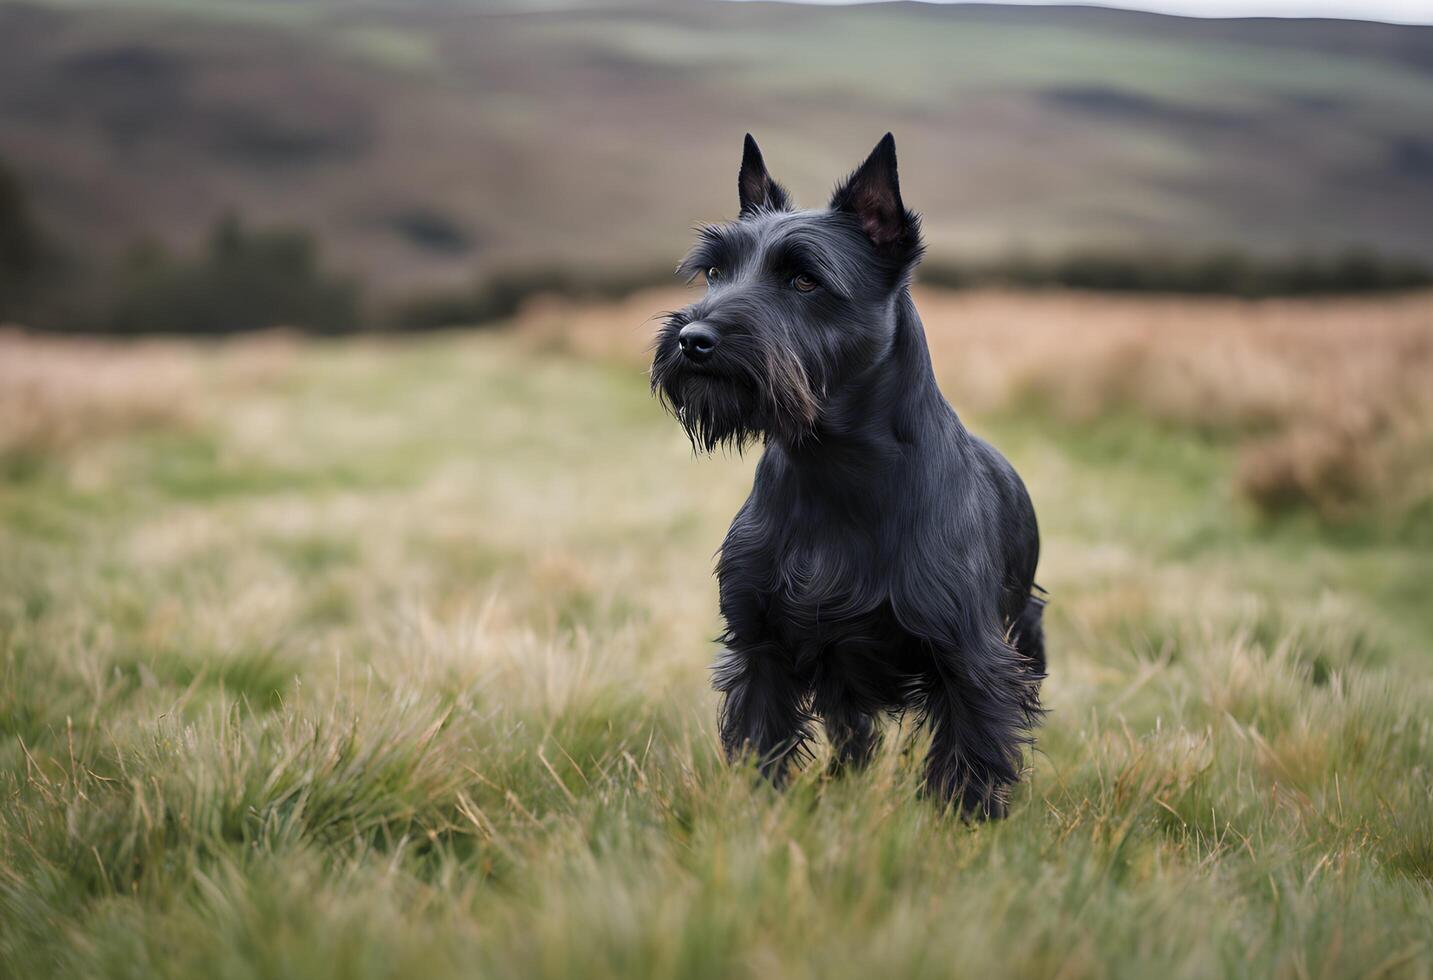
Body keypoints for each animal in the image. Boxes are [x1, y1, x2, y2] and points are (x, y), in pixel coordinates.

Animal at [656, 133, 1048, 813]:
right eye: (714, 272)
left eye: (804, 279)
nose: (693, 339)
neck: (832, 467)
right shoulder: (760, 642)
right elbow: (763, 737)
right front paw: (761, 811)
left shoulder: (969, 655)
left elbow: (972, 751)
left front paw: (964, 824)